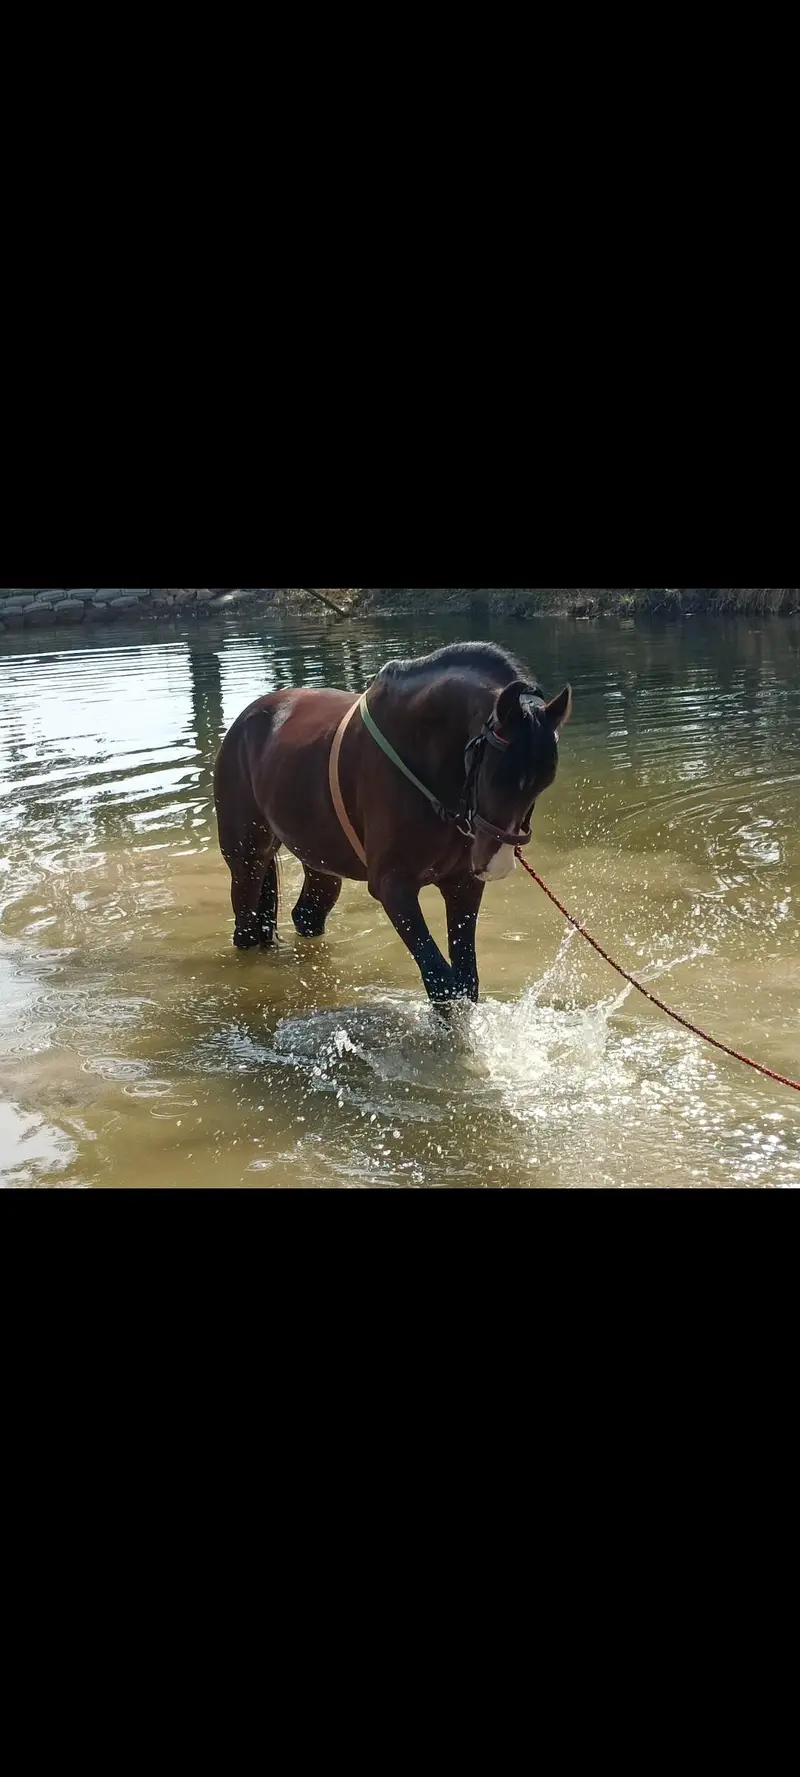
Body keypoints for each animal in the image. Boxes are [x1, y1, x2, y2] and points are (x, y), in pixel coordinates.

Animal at [214, 642, 571, 1003]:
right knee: (246, 928)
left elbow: (466, 981)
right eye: (496, 775)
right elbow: (440, 979)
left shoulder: (463, 884)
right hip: (247, 860)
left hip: (320, 864)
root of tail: (247, 719)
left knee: (307, 916)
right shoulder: (392, 885)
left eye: (544, 782)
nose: (496, 865)